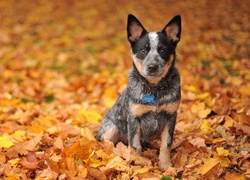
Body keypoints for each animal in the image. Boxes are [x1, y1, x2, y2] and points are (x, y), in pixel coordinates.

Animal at [97, 14, 182, 170]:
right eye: (143, 50)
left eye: (162, 50)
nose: (152, 66)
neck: (154, 89)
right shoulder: (134, 118)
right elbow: (135, 146)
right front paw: (139, 165)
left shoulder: (171, 116)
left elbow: (166, 144)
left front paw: (166, 165)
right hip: (110, 129)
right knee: (109, 144)